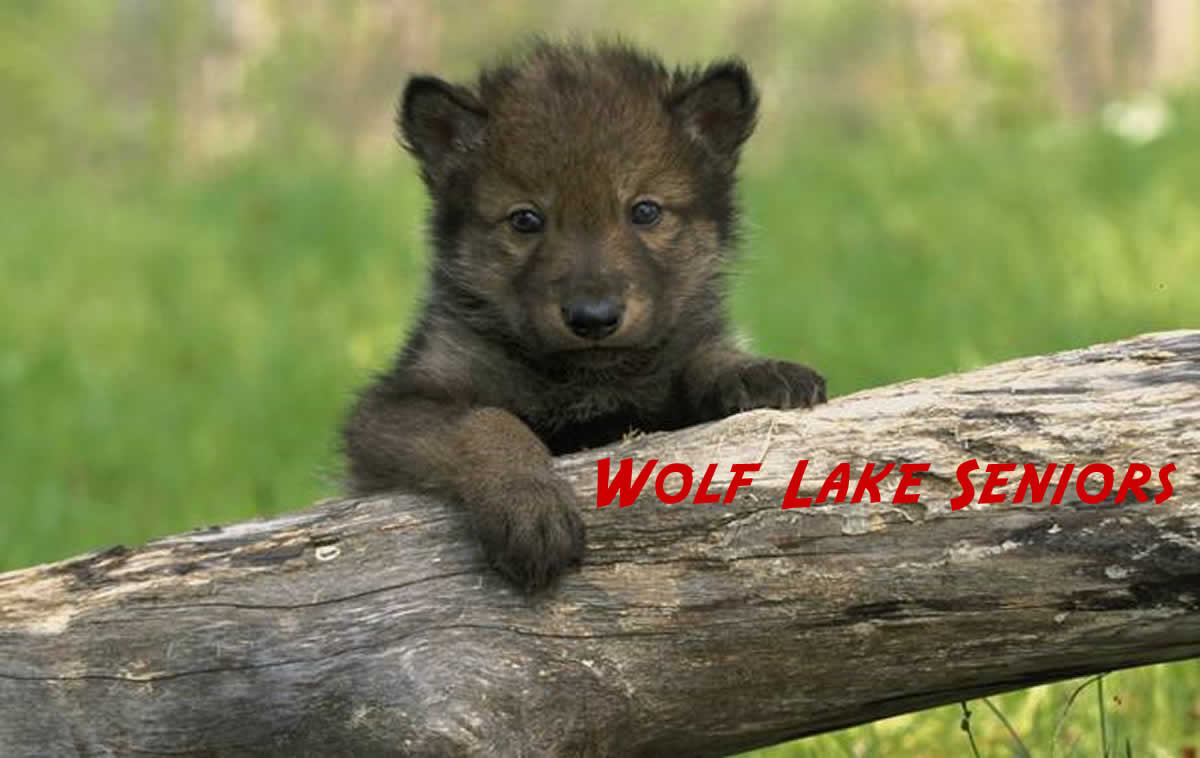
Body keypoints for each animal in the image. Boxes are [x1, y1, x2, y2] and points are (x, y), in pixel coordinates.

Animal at [343, 40, 826, 590]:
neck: (587, 383)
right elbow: (486, 419)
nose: (593, 318)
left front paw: (753, 370)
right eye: (525, 219)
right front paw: (529, 502)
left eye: (645, 211)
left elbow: (703, 358)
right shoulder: (388, 411)